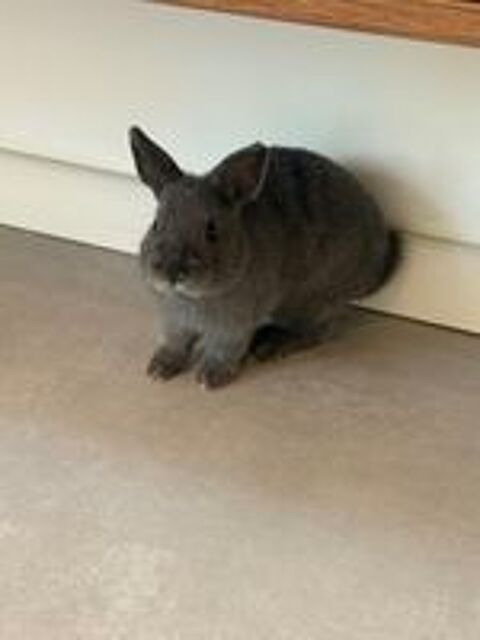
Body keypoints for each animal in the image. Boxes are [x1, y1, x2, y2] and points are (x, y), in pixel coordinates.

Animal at [129, 127, 400, 389]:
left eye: (212, 230)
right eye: (156, 224)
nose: (171, 272)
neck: (192, 297)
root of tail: (376, 267)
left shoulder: (235, 325)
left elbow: (224, 349)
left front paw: (210, 377)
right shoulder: (174, 321)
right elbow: (175, 343)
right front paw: (159, 368)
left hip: (311, 301)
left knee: (319, 332)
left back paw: (272, 345)